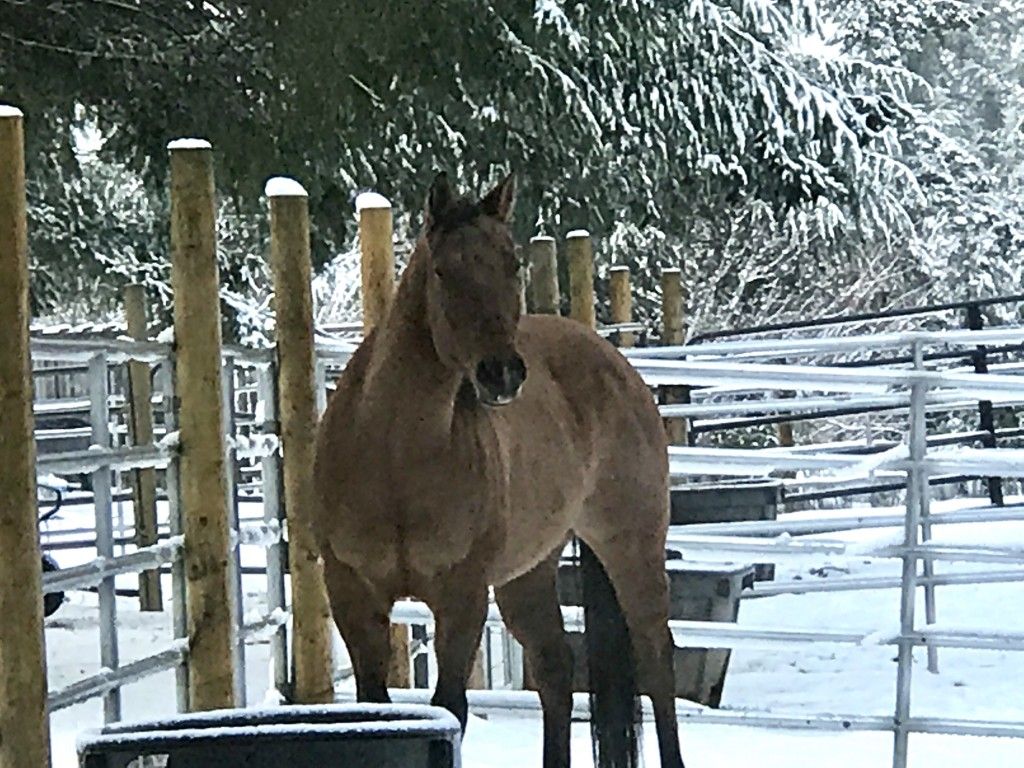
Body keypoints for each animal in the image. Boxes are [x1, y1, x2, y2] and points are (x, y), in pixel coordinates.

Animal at [307, 174, 684, 768]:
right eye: (443, 270)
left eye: (512, 264)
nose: (501, 373)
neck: (394, 458)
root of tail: (613, 363)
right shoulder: (352, 591)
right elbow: (375, 705)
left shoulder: (462, 597)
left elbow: (451, 708)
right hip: (527, 573)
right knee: (555, 669)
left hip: (631, 546)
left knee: (656, 661)